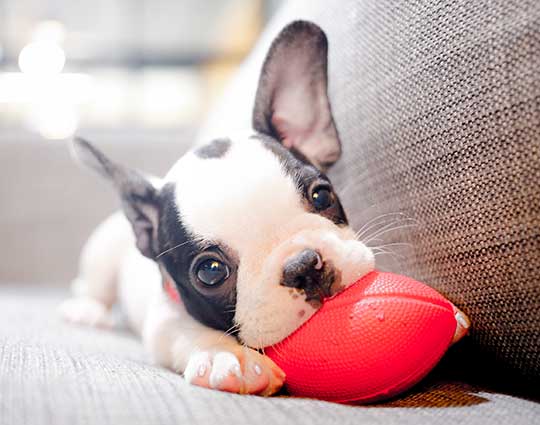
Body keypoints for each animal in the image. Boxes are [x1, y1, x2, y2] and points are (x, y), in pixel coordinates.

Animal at [61, 21, 470, 396]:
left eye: (322, 196)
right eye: (210, 271)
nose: (304, 266)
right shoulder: (164, 317)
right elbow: (185, 330)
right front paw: (227, 356)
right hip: (101, 253)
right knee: (93, 287)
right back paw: (88, 310)